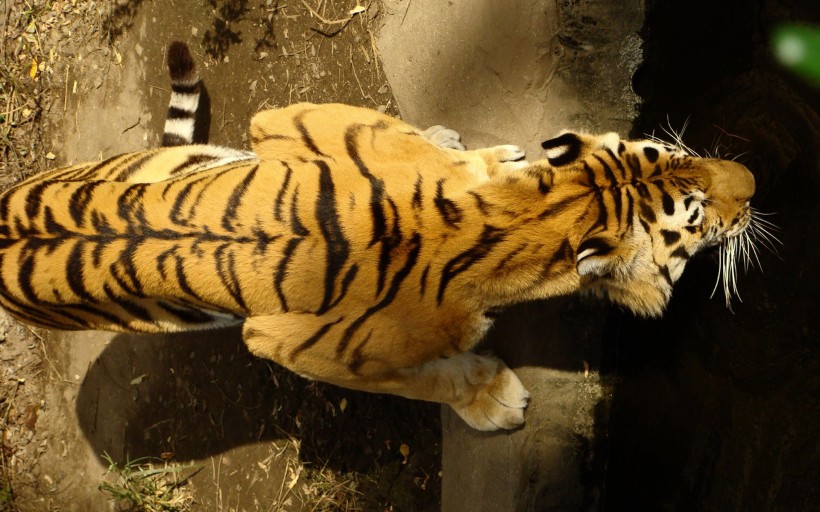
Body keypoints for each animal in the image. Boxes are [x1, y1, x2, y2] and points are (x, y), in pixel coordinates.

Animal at [0, 47, 760, 431]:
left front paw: (469, 149)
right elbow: (420, 382)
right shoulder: (296, 345)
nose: (753, 181)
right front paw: (491, 398)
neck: (527, 213)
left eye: (672, 149)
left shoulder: (290, 120)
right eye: (697, 214)